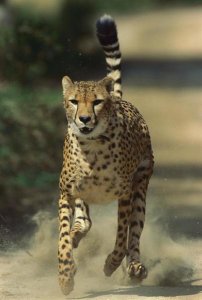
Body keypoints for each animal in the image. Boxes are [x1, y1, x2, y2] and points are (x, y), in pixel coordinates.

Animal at [57, 15, 154, 294]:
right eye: (74, 101)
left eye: (97, 102)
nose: (84, 119)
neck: (92, 148)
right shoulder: (66, 192)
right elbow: (63, 236)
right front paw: (65, 276)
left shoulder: (125, 194)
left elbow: (122, 237)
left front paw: (111, 263)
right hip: (83, 197)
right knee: (84, 222)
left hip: (140, 187)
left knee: (134, 236)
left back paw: (135, 268)